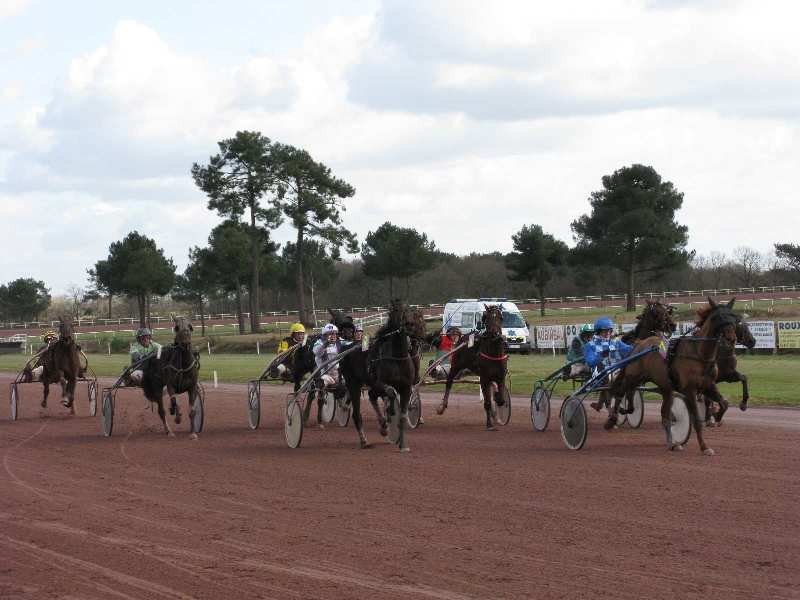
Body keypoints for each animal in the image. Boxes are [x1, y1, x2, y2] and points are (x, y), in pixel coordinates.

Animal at [608, 298, 740, 452]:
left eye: (733, 317)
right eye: (718, 318)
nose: (731, 338)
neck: (699, 354)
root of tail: (639, 344)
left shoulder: (709, 385)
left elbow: (724, 403)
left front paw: (716, 416)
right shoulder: (689, 390)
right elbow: (696, 419)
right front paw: (704, 446)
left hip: (663, 386)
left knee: (661, 412)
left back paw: (672, 443)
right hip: (633, 376)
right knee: (620, 391)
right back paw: (613, 418)